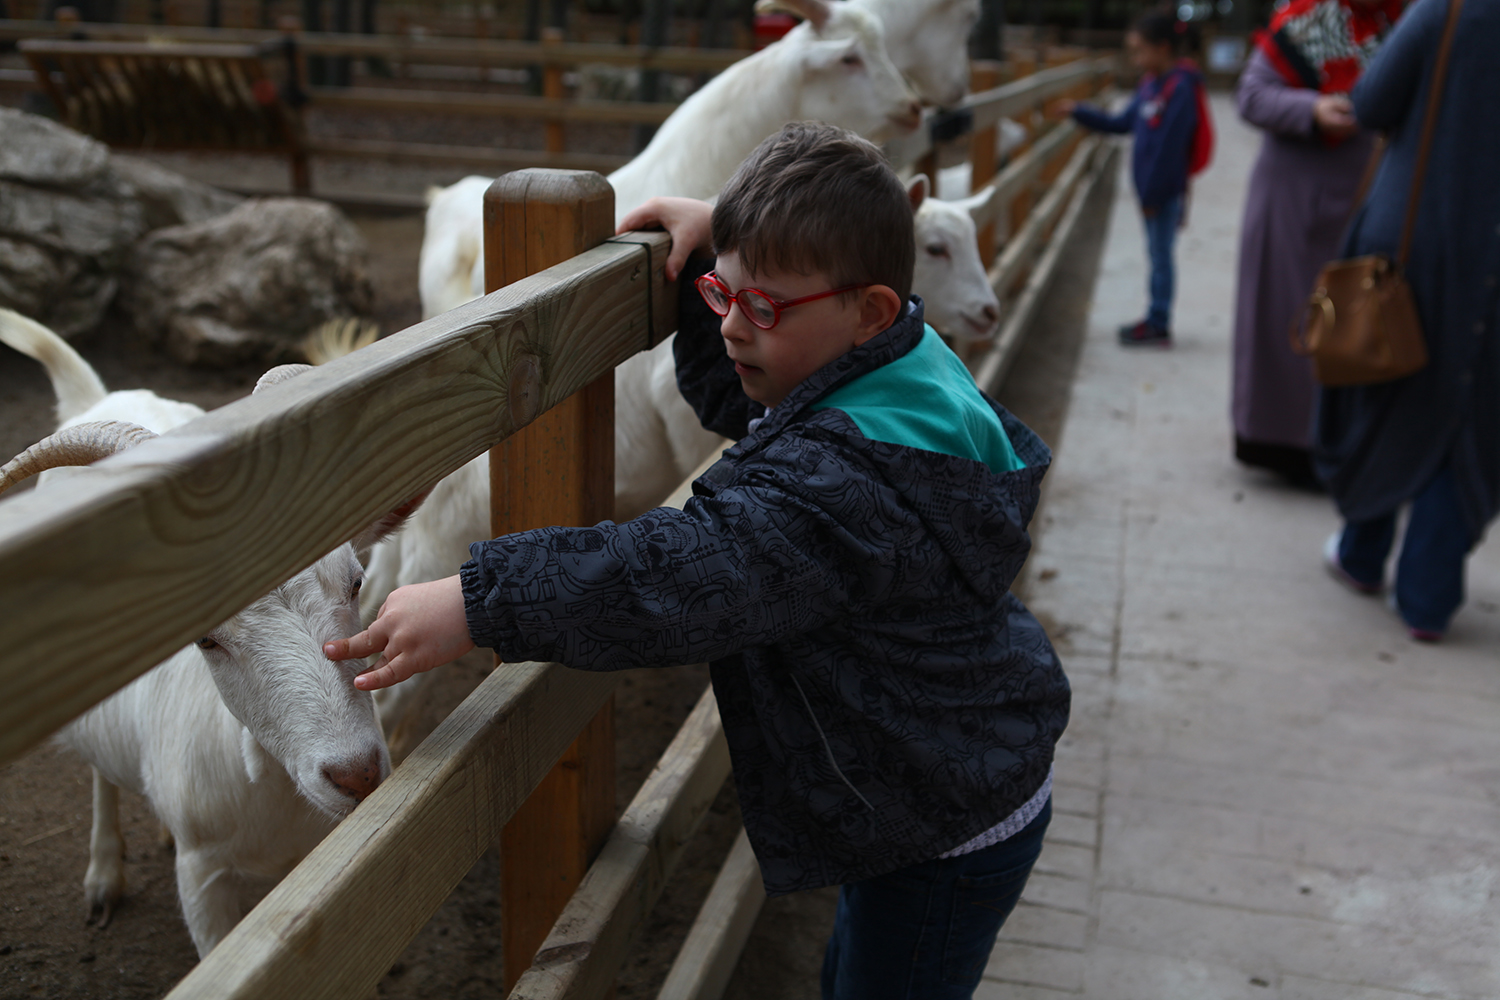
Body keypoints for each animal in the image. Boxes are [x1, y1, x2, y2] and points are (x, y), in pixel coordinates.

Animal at [0, 308, 411, 959]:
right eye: (205, 637)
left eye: (356, 581)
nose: (356, 775)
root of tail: (105, 395)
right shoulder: (202, 878)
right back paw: (103, 875)